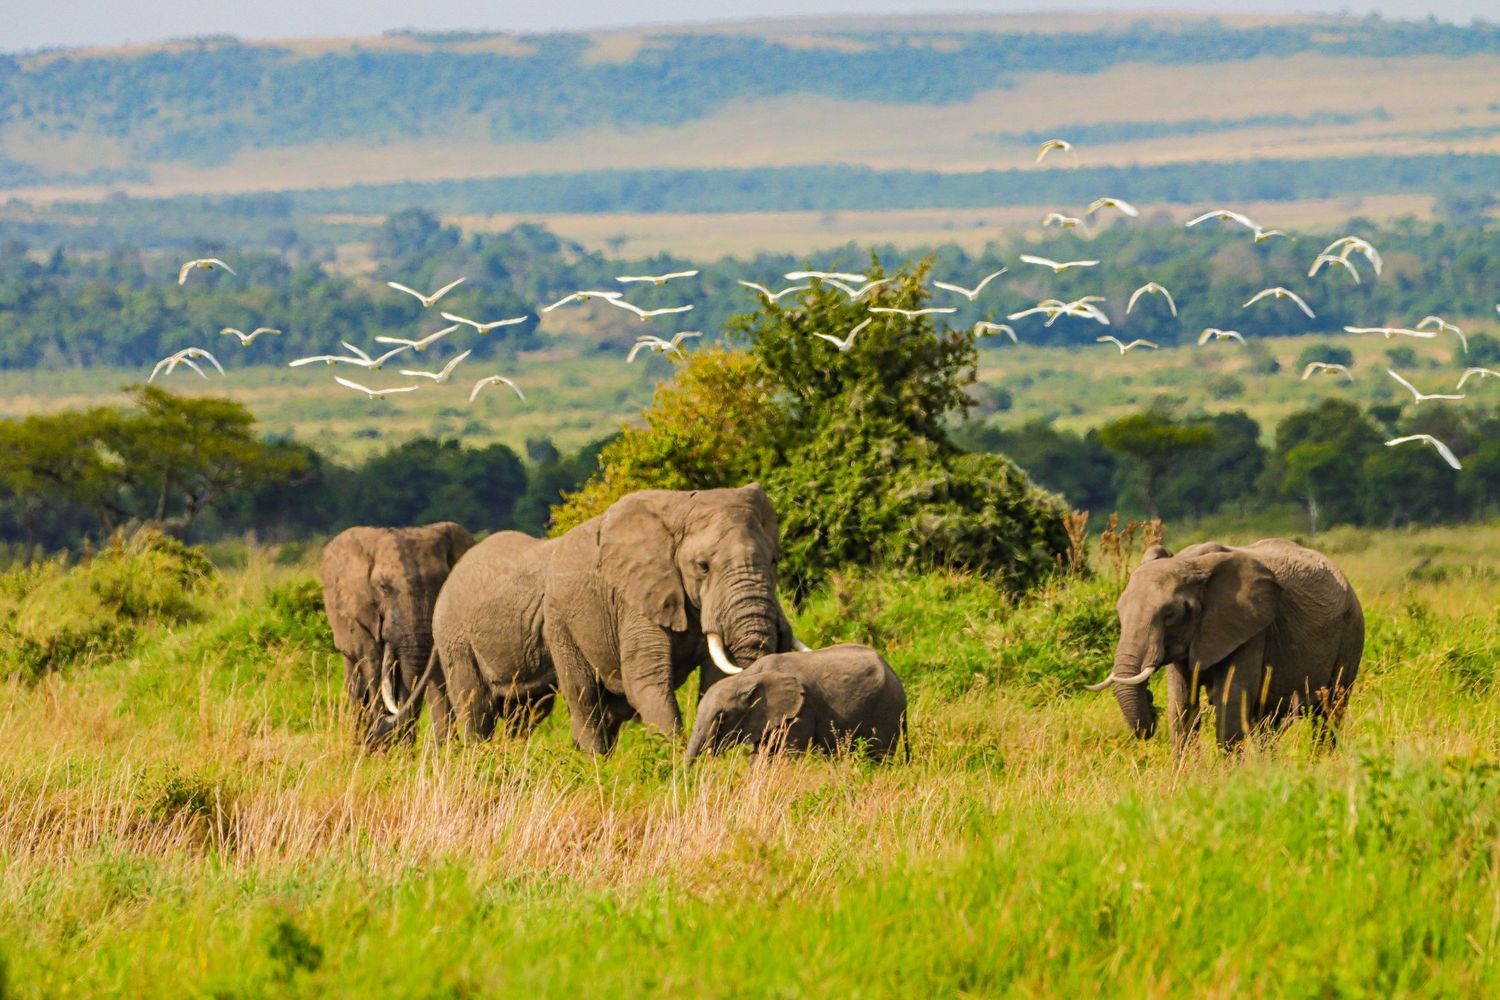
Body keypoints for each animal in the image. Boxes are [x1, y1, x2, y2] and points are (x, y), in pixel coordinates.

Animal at [319, 521, 473, 747]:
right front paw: (381, 747)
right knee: (357, 682)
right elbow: (373, 665)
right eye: (383, 587)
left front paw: (446, 752)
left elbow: (435, 675)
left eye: (442, 583)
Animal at [386, 484, 806, 754]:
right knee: (501, 703)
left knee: (528, 712)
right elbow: (646, 682)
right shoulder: (632, 600)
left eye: (774, 560)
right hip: (505, 629)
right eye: (702, 566)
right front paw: (670, 763)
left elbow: (717, 679)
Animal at [685, 644, 909, 762]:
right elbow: (760, 754)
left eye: (722, 717)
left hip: (886, 710)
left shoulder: (801, 710)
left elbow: (788, 753)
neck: (748, 676)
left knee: (878, 754)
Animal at [1087, 539, 1364, 750]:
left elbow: (1230, 704)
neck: (1191, 564)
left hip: (1351, 634)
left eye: (1169, 615)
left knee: (1330, 712)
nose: (1150, 700)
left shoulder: (1252, 629)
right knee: (1269, 720)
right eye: (1119, 612)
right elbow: (1181, 707)